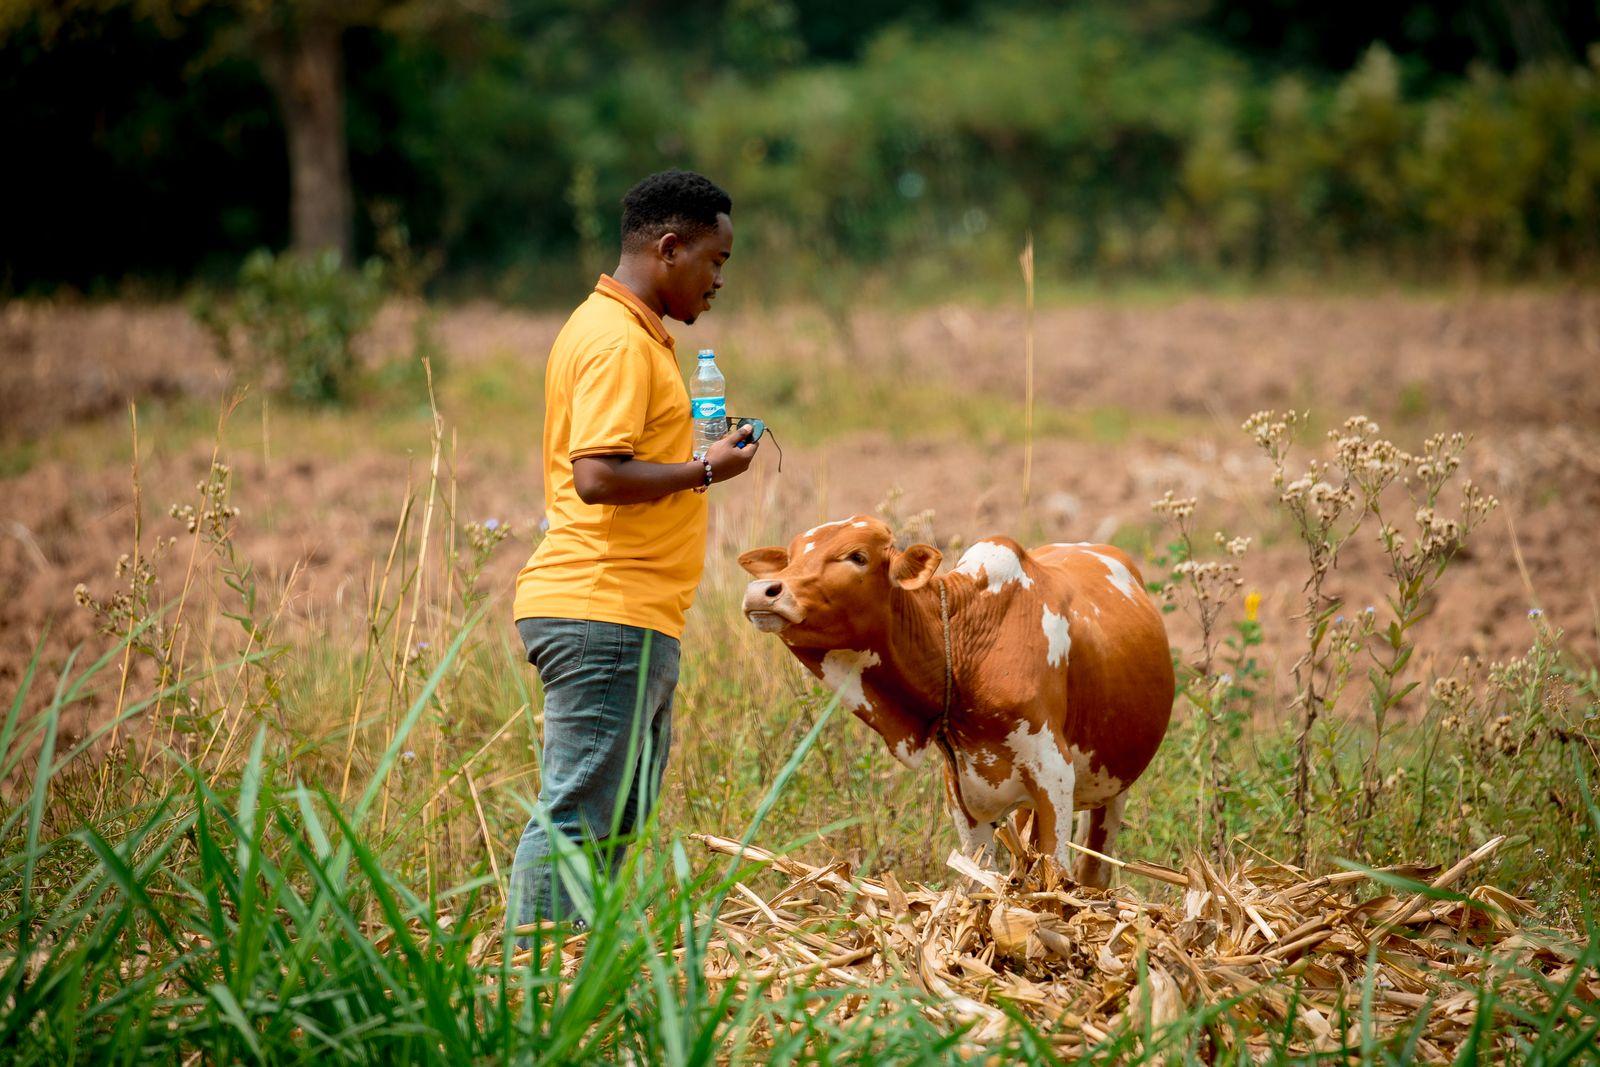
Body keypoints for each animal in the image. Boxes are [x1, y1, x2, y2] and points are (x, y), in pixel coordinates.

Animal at [738, 515, 1174, 887]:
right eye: (791, 557)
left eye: (857, 556)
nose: (763, 591)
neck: (967, 643)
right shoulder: (962, 792)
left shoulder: (1054, 775)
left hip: (1111, 789)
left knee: (1093, 870)